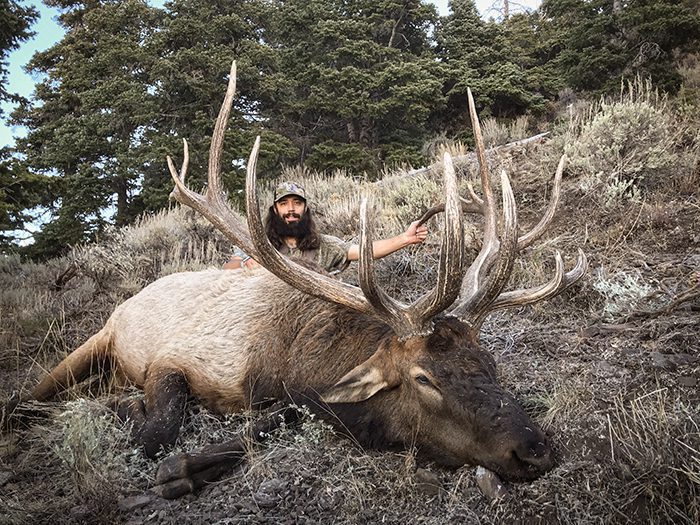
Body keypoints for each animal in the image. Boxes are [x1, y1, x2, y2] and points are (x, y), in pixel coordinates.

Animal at [3, 62, 587, 499]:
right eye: (424, 378)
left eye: (489, 362)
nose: (534, 450)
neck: (291, 358)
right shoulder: (176, 360)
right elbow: (158, 432)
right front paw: (143, 429)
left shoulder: (295, 397)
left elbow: (275, 419)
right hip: (100, 337)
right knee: (28, 397)